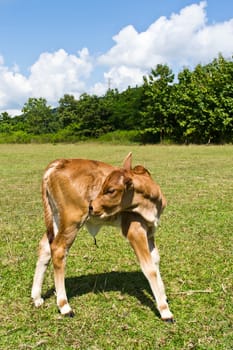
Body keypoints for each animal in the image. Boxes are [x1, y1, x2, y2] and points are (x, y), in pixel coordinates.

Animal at [30, 152, 173, 322]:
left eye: (110, 190)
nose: (92, 206)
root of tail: (58, 163)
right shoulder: (134, 230)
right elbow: (149, 268)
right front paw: (165, 311)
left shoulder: (150, 231)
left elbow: (155, 260)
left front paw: (163, 297)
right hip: (72, 220)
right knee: (58, 249)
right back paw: (64, 306)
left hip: (57, 219)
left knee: (46, 247)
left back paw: (37, 297)